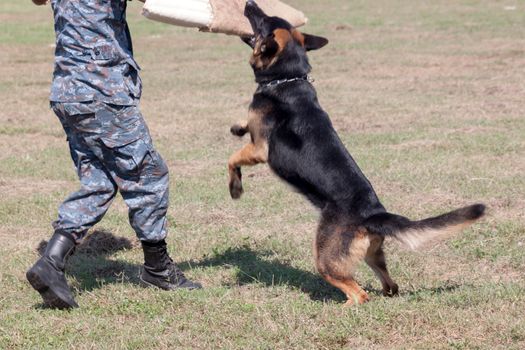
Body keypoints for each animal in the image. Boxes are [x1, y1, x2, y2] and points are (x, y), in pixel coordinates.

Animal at [227, 0, 486, 304]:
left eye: (264, 21)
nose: (249, 3)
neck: (287, 78)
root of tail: (373, 215)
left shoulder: (260, 150)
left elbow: (232, 160)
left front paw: (235, 189)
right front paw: (237, 126)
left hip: (326, 258)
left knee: (359, 294)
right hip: (372, 255)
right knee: (390, 284)